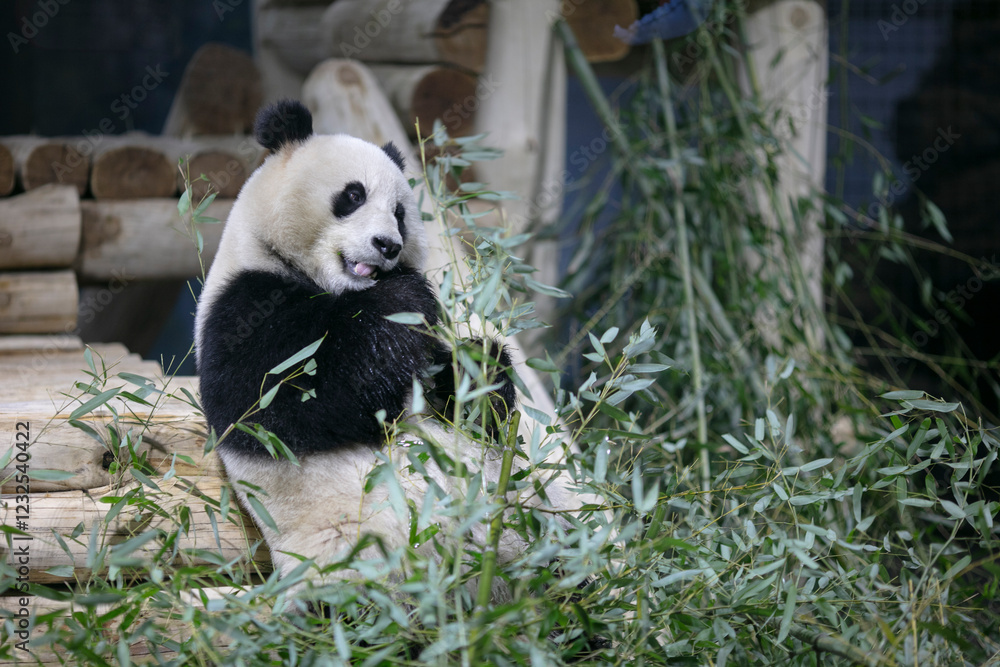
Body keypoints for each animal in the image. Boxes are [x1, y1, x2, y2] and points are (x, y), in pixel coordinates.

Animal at [194, 100, 582, 600]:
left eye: (399, 213)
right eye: (353, 195)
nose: (388, 246)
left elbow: (474, 410)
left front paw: (476, 365)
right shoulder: (241, 305)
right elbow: (286, 398)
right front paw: (405, 299)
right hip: (347, 563)